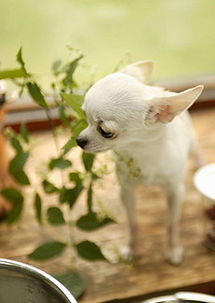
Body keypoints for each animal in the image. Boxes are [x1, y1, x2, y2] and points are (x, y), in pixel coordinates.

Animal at [76, 60, 203, 264]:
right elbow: (132, 221)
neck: (142, 151)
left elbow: (172, 223)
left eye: (106, 132)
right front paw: (131, 248)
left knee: (196, 148)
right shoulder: (126, 191)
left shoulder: (176, 192)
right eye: (84, 117)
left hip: (191, 141)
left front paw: (173, 248)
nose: (78, 140)